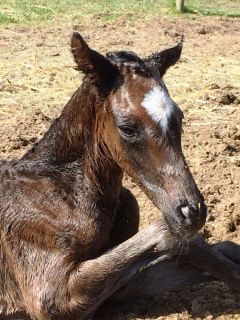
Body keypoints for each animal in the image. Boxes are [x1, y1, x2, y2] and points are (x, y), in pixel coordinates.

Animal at [0, 33, 240, 320]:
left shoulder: (119, 290)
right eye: (127, 128)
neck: (65, 189)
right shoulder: (52, 296)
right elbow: (171, 236)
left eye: (180, 118)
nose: (192, 212)